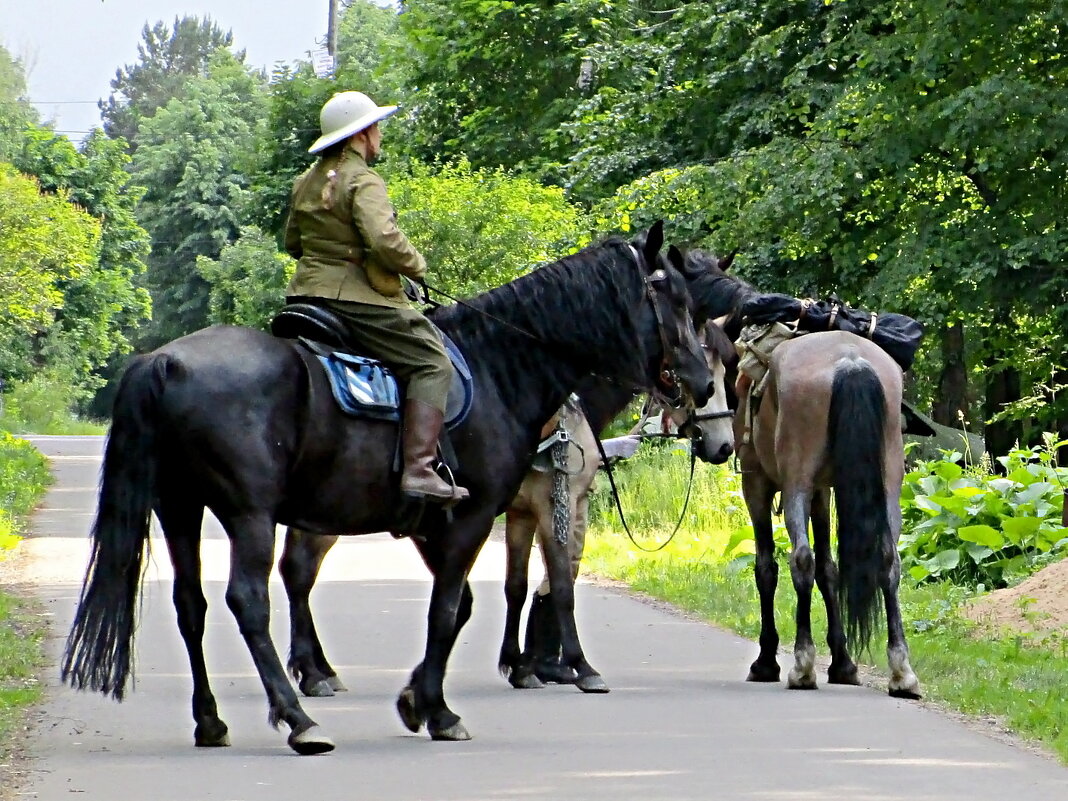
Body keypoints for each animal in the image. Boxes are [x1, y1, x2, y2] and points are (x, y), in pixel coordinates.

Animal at [56, 223, 709, 756]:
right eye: (674, 301)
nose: (702, 382)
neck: (500, 366)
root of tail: (165, 362)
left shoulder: (433, 522)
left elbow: (460, 607)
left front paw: (417, 698)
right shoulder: (473, 518)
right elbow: (447, 609)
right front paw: (439, 711)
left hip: (180, 508)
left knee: (191, 604)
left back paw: (212, 721)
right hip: (249, 514)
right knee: (249, 601)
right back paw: (299, 720)